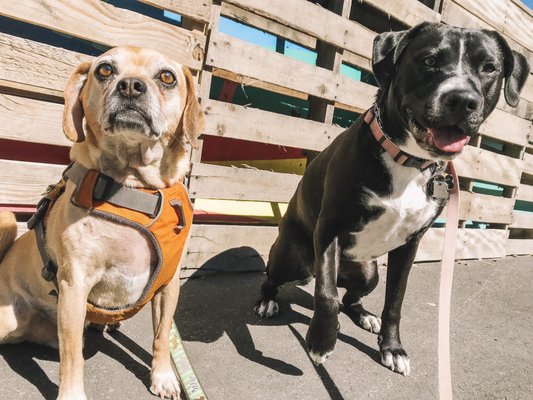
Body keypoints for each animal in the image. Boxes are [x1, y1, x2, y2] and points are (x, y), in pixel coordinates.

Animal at [0, 47, 205, 400]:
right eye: (105, 70)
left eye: (167, 76)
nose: (131, 86)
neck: (134, 189)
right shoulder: (73, 287)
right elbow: (72, 358)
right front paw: (71, 395)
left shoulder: (169, 285)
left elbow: (162, 335)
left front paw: (163, 375)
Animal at [255, 21, 528, 376]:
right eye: (429, 60)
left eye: (489, 68)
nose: (462, 100)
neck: (408, 161)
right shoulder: (329, 228)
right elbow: (326, 294)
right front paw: (320, 341)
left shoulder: (409, 244)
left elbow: (395, 300)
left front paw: (392, 347)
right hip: (289, 257)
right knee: (280, 279)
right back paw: (268, 301)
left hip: (368, 274)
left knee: (351, 297)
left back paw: (364, 317)